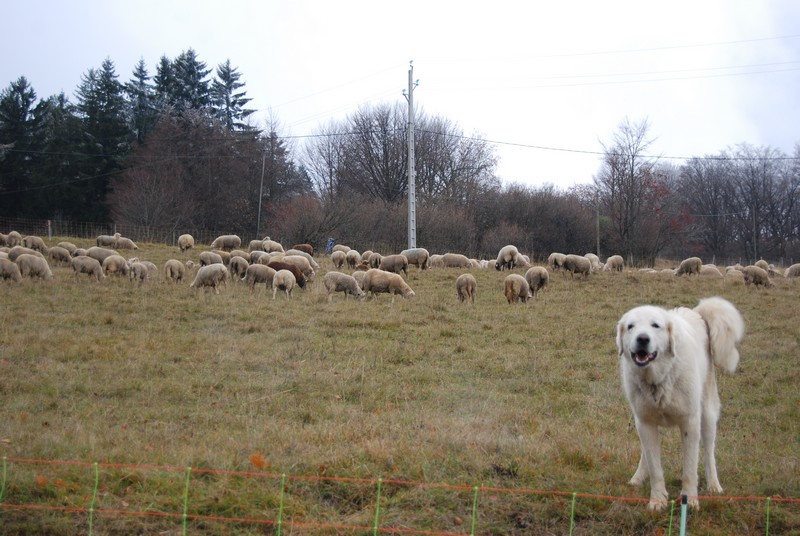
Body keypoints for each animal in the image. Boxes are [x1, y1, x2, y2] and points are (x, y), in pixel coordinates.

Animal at [616, 298, 748, 510]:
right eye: (631, 326)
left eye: (655, 325)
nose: (642, 339)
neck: (659, 378)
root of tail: (696, 313)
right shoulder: (645, 422)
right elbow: (655, 467)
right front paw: (657, 501)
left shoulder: (690, 423)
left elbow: (690, 468)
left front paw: (690, 500)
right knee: (646, 453)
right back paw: (638, 478)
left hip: (708, 415)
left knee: (709, 452)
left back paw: (714, 485)